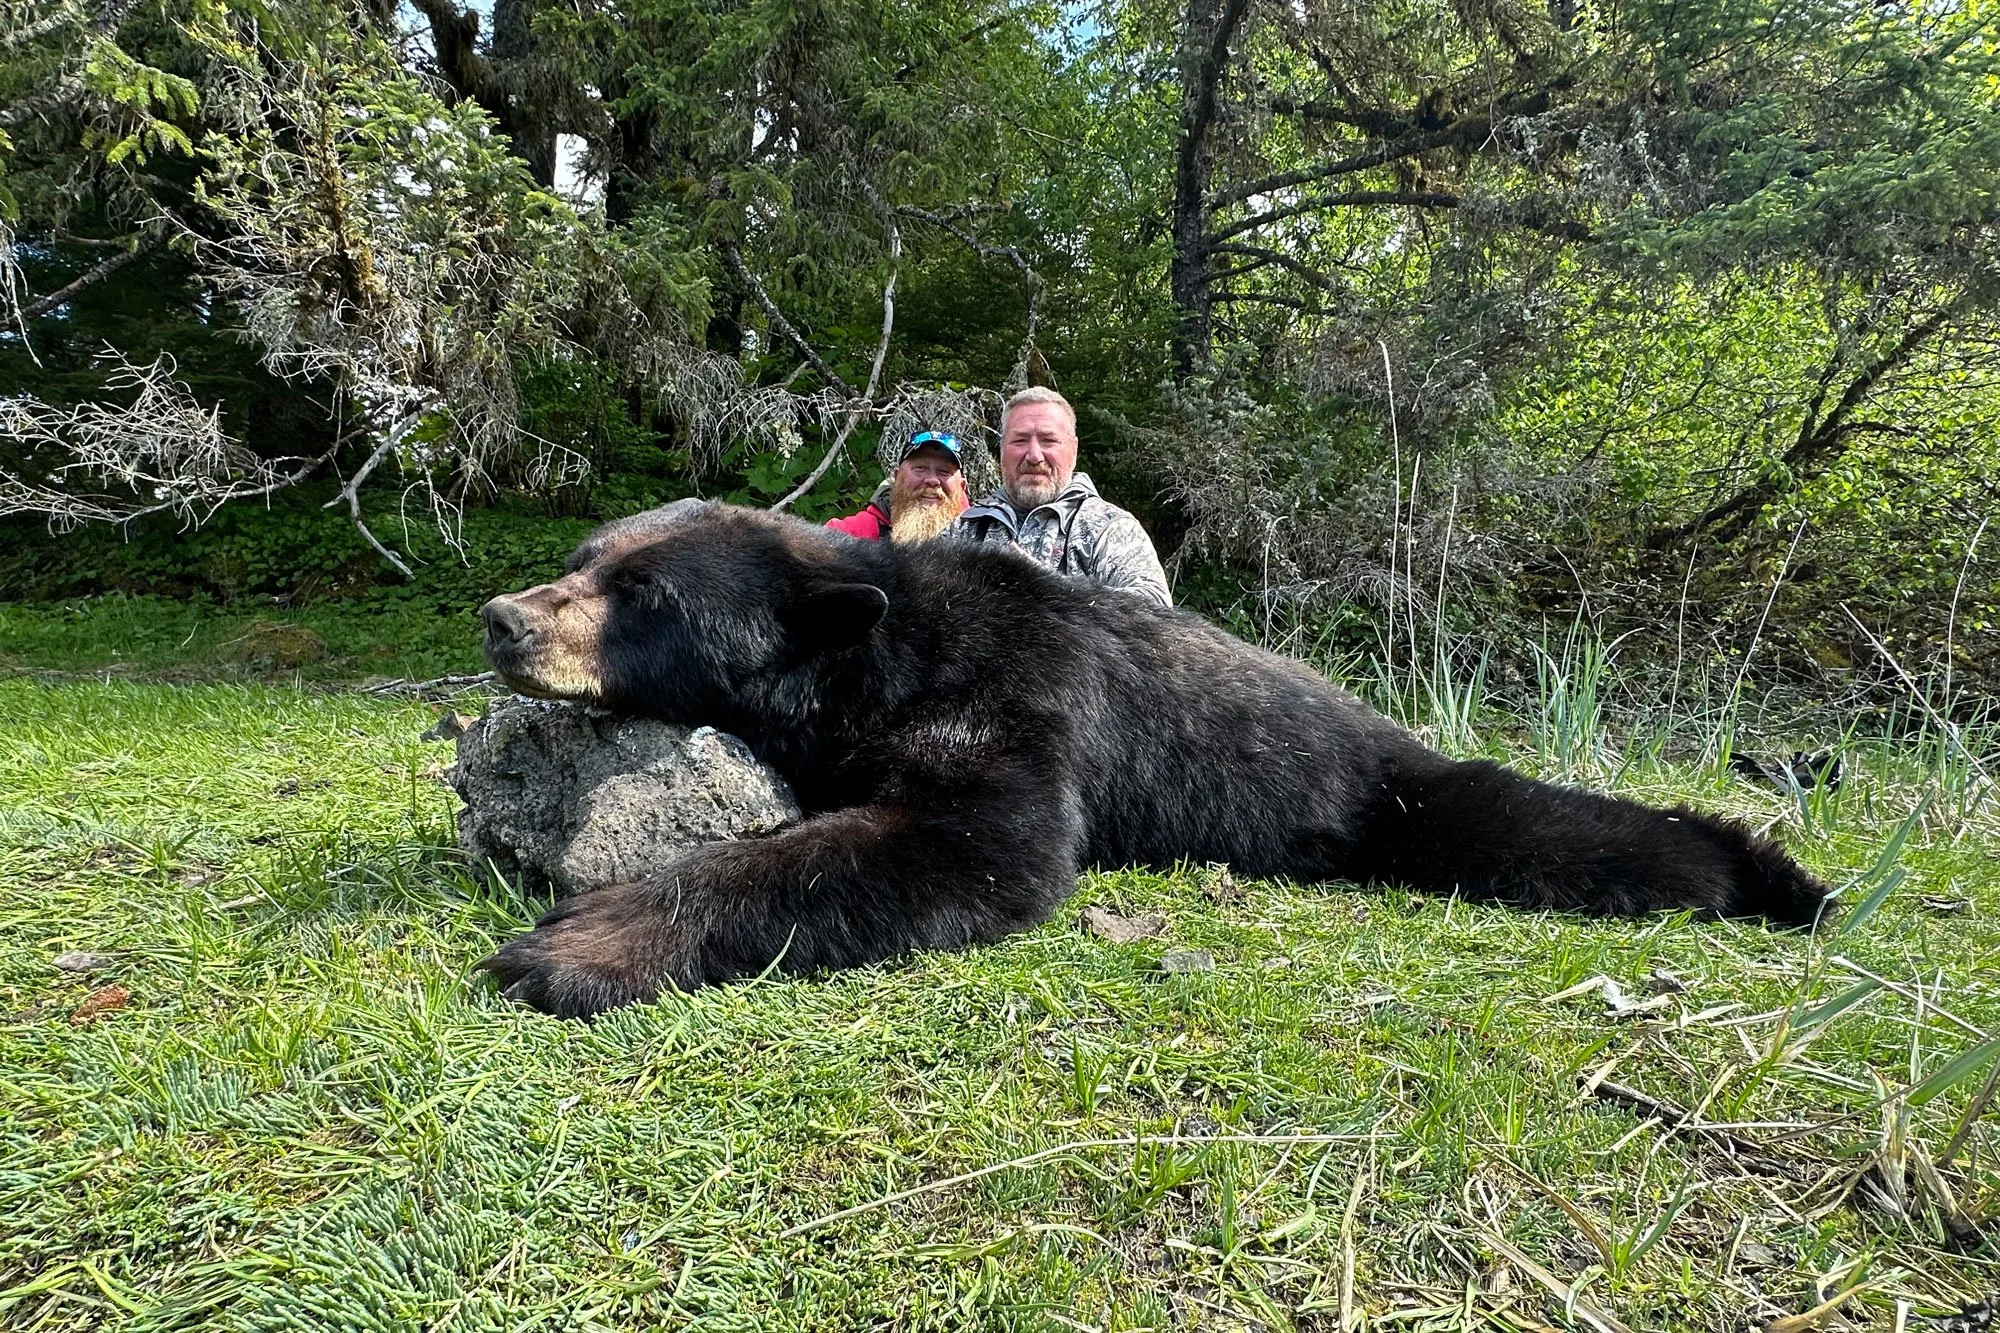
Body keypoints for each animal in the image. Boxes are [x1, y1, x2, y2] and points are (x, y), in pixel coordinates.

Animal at [475, 499, 1828, 1018]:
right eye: (586, 557)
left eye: (645, 593)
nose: (503, 616)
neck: (879, 654)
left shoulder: (1013, 692)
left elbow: (977, 843)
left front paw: (582, 939)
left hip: (1387, 794)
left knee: (1554, 831)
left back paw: (1770, 875)